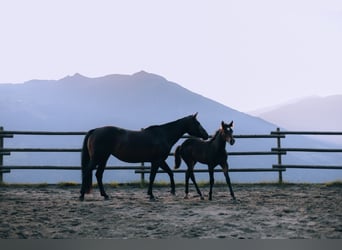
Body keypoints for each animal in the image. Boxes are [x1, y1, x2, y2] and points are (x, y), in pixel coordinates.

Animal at [80, 113, 208, 201]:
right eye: (197, 123)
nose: (206, 135)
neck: (163, 135)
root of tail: (95, 131)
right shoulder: (157, 161)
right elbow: (152, 177)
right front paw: (151, 195)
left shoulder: (159, 161)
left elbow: (170, 173)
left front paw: (172, 191)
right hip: (97, 158)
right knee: (87, 171)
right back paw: (82, 195)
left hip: (103, 158)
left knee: (98, 174)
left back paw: (105, 195)